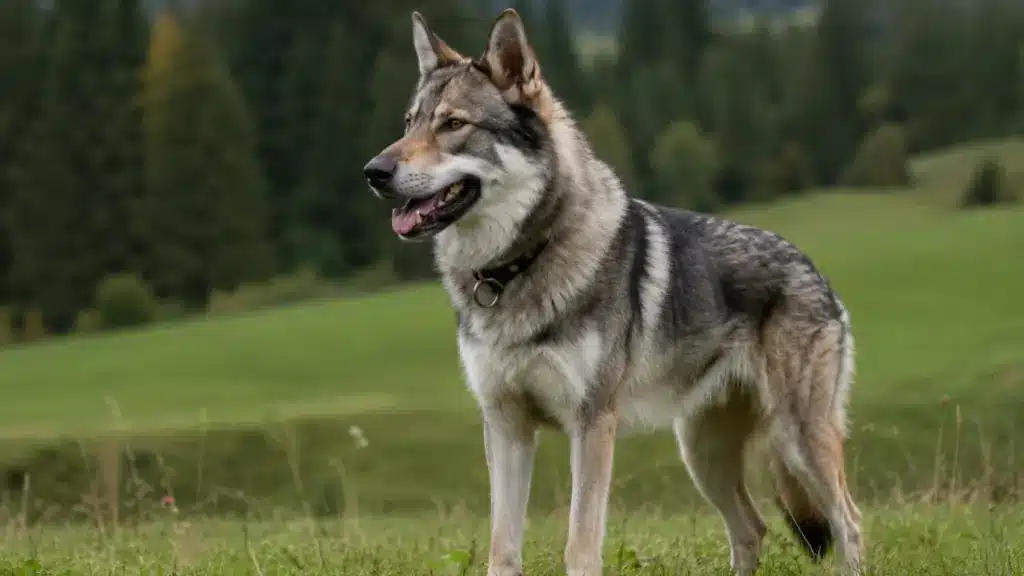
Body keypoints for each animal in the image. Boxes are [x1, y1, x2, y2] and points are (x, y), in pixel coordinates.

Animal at [362, 8, 863, 576]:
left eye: (453, 124)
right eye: (409, 123)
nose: (374, 172)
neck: (515, 269)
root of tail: (814, 269)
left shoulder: (592, 425)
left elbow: (580, 546)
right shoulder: (506, 426)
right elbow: (502, 548)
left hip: (798, 439)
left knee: (848, 522)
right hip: (701, 453)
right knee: (752, 528)